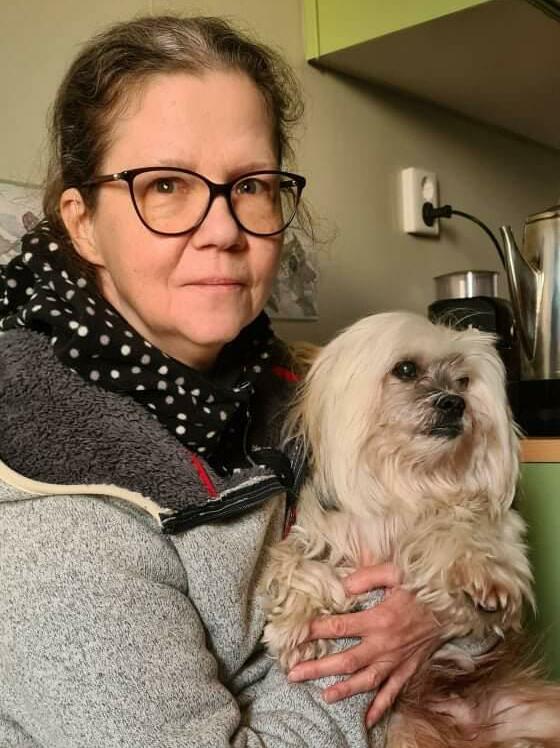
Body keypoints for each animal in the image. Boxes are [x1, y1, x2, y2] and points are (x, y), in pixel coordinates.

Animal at [262, 311, 560, 747]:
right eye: (405, 369)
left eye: (464, 381)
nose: (455, 403)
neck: (406, 479)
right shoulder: (314, 534)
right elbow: (293, 561)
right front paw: (299, 628)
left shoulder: (486, 519)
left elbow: (463, 525)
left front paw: (480, 578)